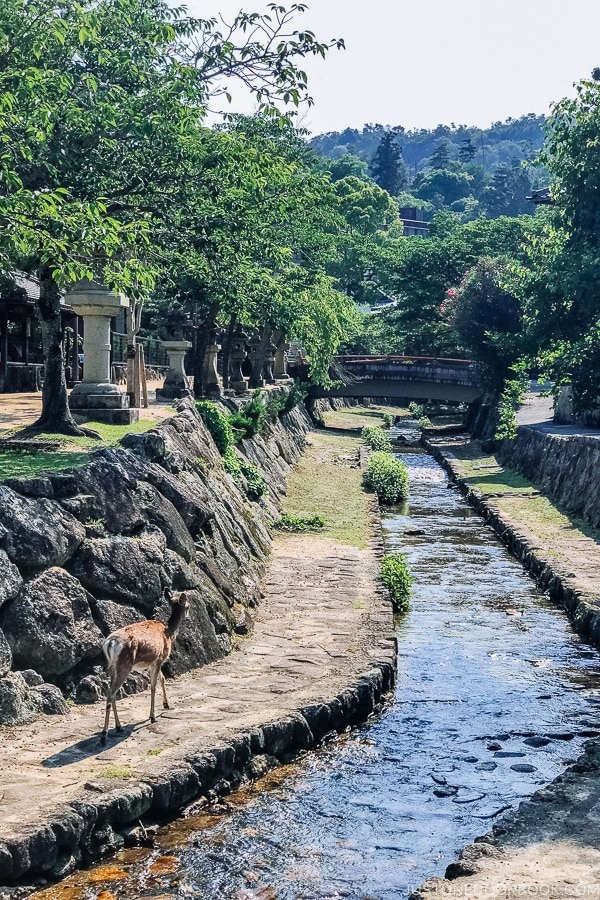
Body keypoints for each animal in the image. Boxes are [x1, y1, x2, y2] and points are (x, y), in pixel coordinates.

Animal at [100, 584, 190, 744]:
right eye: (188, 605)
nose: (189, 615)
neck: (169, 633)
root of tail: (110, 643)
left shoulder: (153, 662)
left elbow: (162, 679)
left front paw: (166, 705)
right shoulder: (159, 658)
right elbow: (153, 686)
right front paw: (152, 717)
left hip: (112, 666)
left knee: (113, 692)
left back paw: (119, 727)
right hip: (124, 665)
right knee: (110, 694)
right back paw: (104, 734)